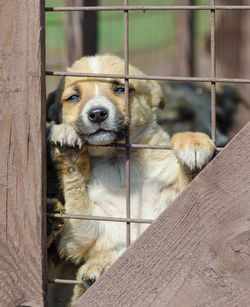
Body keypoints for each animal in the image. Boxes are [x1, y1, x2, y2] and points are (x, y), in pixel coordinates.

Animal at [47, 53, 215, 306]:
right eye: (73, 97)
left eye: (120, 89)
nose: (97, 113)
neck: (118, 162)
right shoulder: (84, 233)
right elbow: (76, 194)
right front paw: (67, 144)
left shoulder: (173, 203)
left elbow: (191, 179)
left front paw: (193, 142)